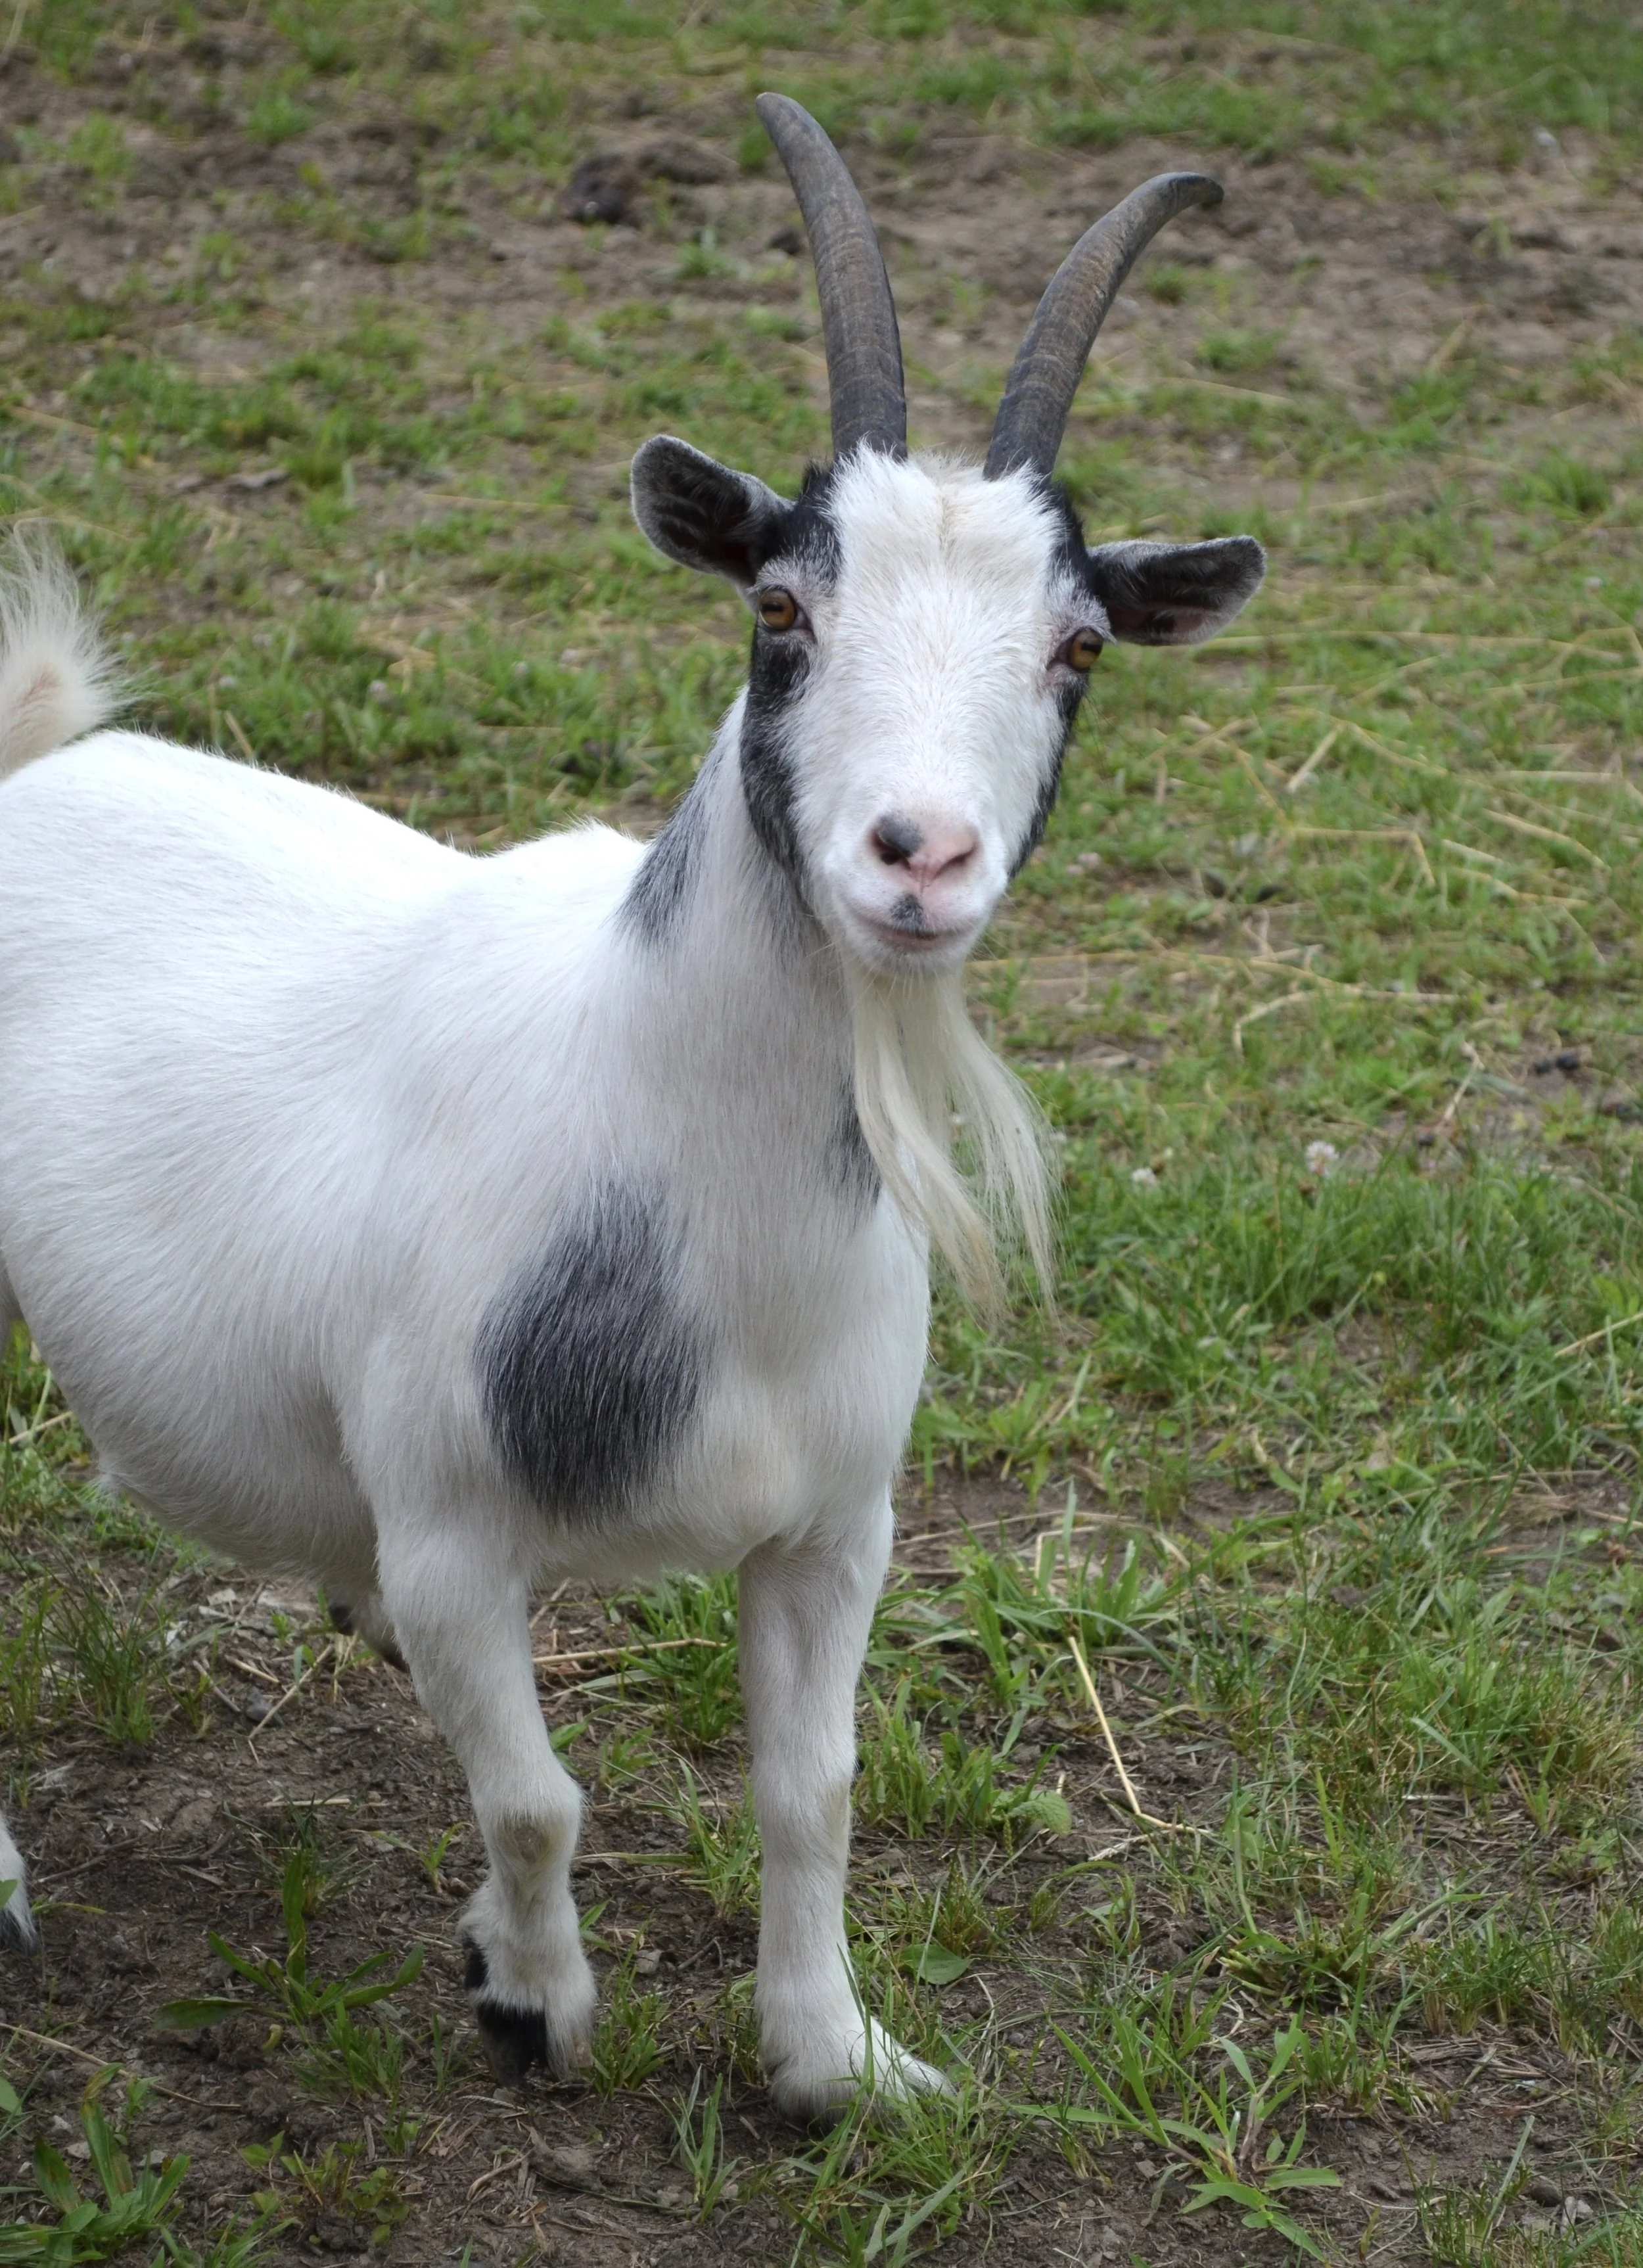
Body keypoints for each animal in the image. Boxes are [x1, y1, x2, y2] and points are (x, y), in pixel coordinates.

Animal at [0, 96, 1263, 2112]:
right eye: (781, 604)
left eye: (1077, 648)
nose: (920, 855)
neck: (676, 1181)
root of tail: (39, 763)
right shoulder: (449, 1528)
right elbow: (538, 1797)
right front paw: (531, 2001)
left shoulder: (835, 1531)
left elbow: (813, 1791)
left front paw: (834, 2065)